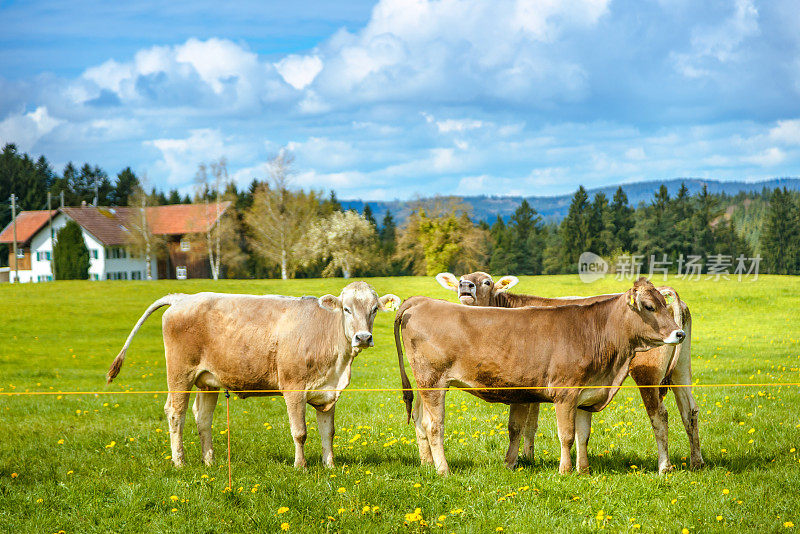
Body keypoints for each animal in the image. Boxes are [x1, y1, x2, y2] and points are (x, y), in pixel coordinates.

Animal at [108, 282, 400, 472]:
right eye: (346, 309)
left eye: (374, 309)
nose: (363, 337)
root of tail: (183, 298)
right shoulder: (294, 388)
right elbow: (300, 432)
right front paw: (301, 466)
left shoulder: (327, 394)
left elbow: (328, 432)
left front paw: (330, 466)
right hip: (180, 373)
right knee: (174, 412)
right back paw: (179, 462)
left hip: (207, 381)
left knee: (203, 418)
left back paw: (209, 461)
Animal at [396, 278, 684, 476]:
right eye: (649, 306)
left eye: (664, 305)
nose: (679, 333)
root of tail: (421, 301)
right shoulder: (565, 393)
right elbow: (566, 434)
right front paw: (565, 471)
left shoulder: (586, 394)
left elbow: (583, 435)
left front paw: (584, 470)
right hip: (433, 382)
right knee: (435, 426)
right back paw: (443, 470)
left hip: (424, 384)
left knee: (421, 421)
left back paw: (427, 464)